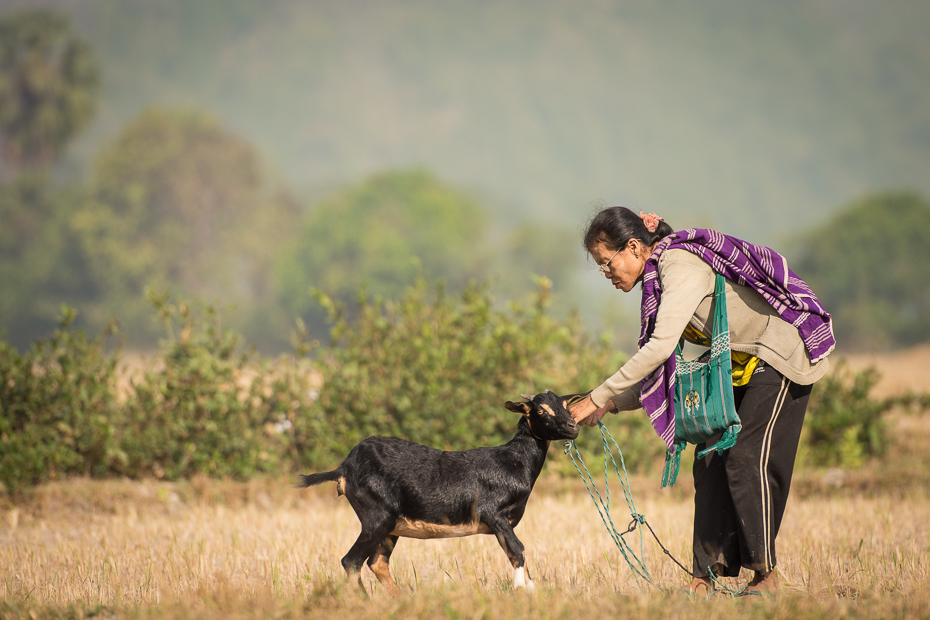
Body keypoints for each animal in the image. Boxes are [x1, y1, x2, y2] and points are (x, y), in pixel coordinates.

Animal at [296, 390, 580, 592]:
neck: (513, 462)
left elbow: (514, 552)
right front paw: (524, 589)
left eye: (565, 405)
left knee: (377, 562)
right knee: (351, 561)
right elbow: (517, 549)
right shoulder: (492, 513)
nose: (572, 426)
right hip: (377, 515)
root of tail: (344, 468)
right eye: (541, 410)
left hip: (390, 525)